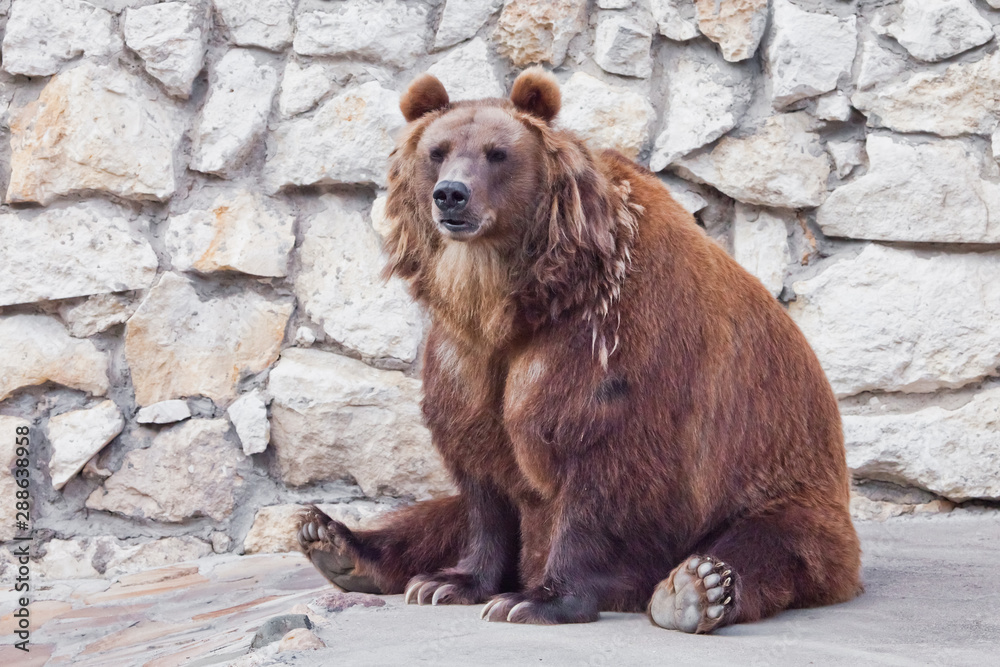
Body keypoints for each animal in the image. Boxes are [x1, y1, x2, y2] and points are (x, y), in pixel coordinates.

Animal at [296, 67, 862, 634]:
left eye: (497, 153)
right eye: (438, 151)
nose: (451, 194)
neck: (518, 302)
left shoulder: (609, 341)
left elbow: (598, 463)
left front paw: (536, 599)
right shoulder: (468, 357)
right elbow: (481, 478)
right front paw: (449, 583)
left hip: (780, 482)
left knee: (773, 541)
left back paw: (696, 588)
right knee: (440, 513)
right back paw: (335, 542)